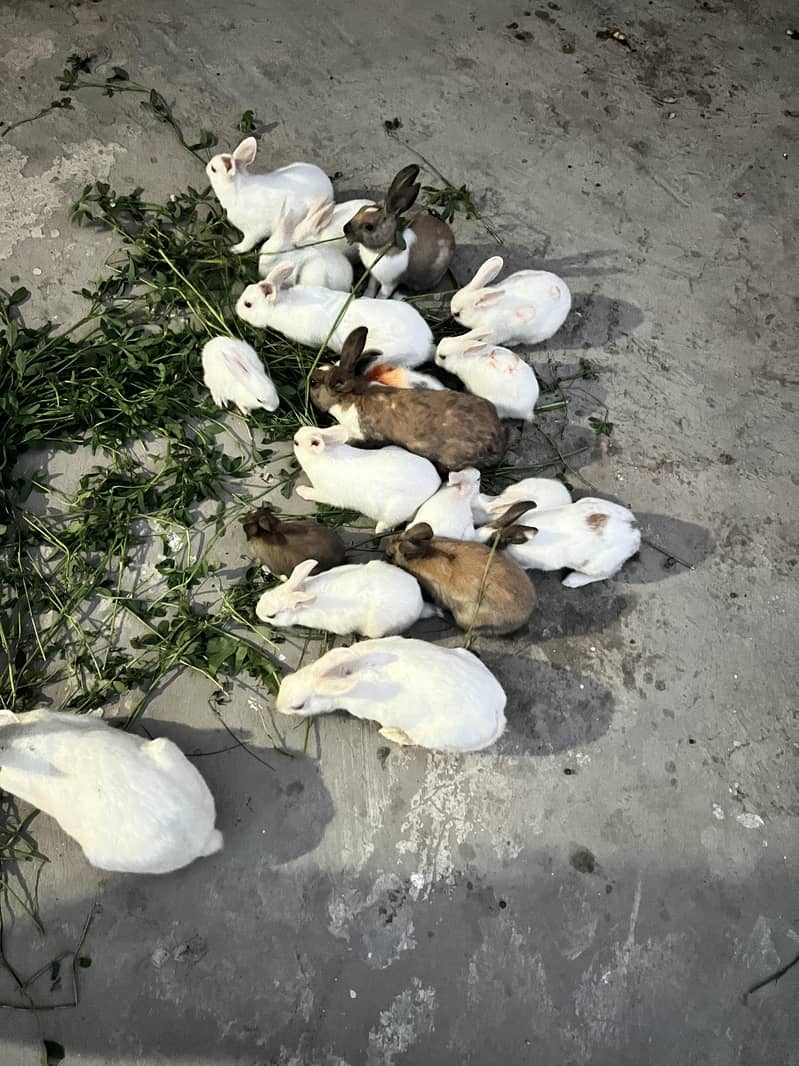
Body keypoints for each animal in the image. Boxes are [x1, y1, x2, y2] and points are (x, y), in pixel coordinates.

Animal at [276, 637, 506, 752]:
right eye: (285, 682)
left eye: (298, 706)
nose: (278, 705)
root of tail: (496, 709)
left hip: (432, 735)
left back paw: (389, 733)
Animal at [293, 424, 440, 533]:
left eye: (296, 443)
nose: (294, 436)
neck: (323, 456)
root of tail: (436, 482)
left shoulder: (327, 494)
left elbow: (312, 493)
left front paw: (300, 490)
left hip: (394, 511)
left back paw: (379, 529)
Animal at [343, 164, 455, 299]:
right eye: (362, 208)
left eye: (369, 227)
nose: (345, 229)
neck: (383, 247)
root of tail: (452, 240)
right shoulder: (374, 275)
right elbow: (371, 286)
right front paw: (367, 296)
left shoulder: (390, 282)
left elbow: (383, 294)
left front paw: (376, 300)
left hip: (425, 277)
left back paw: (399, 295)